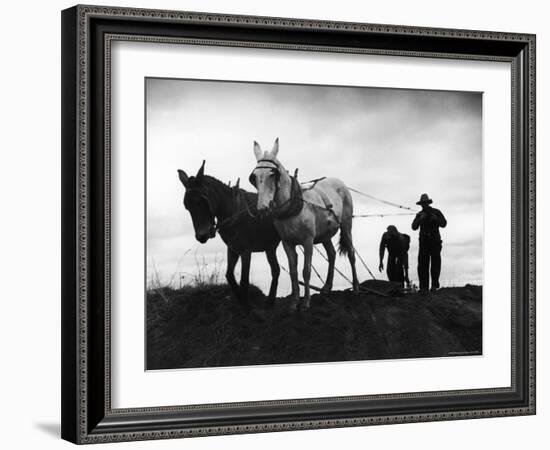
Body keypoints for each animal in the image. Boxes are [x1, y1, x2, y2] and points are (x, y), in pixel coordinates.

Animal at [250, 139, 362, 312]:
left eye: (272, 174)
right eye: (254, 177)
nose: (262, 208)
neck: (291, 208)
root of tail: (339, 182)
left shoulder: (308, 241)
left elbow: (306, 271)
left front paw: (306, 302)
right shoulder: (287, 243)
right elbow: (293, 271)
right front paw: (293, 302)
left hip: (346, 225)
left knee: (351, 253)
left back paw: (356, 287)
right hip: (325, 234)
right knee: (331, 254)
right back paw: (326, 287)